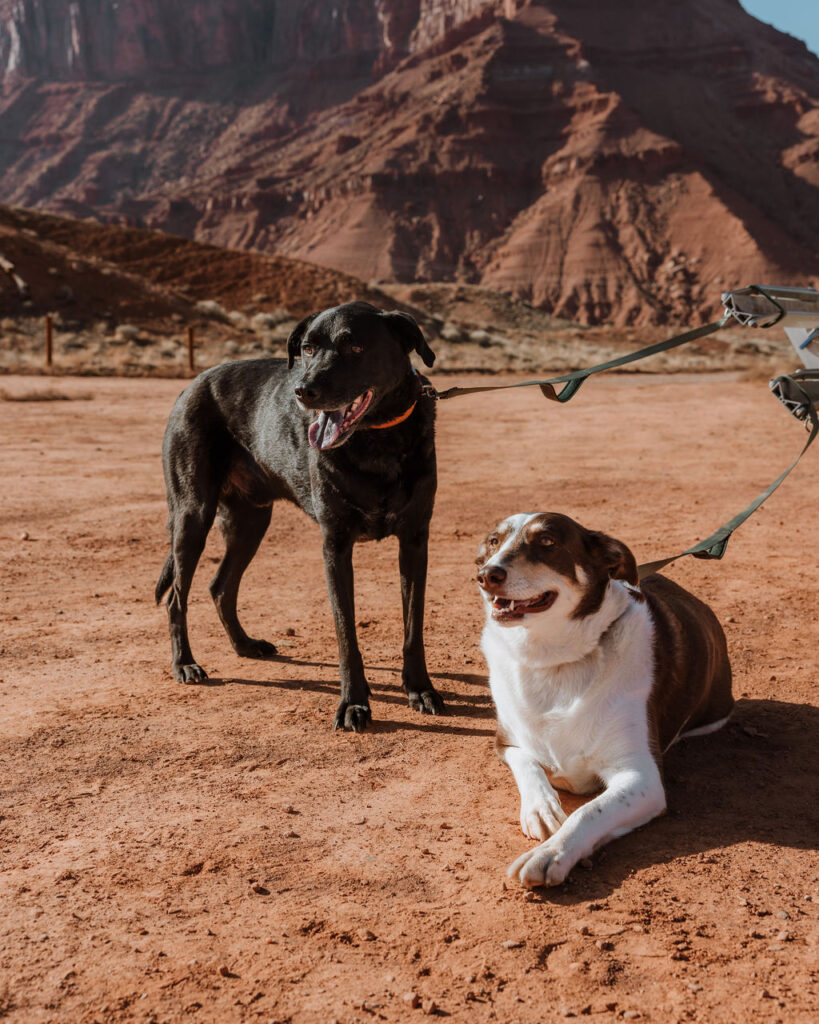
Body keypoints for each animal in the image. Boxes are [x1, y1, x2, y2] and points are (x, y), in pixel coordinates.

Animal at [155, 299, 444, 733]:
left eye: (355, 347)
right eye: (307, 349)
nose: (302, 391)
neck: (377, 440)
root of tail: (193, 383)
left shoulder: (414, 541)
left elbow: (413, 626)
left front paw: (420, 688)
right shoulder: (335, 545)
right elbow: (345, 632)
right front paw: (353, 702)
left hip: (251, 522)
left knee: (220, 586)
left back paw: (244, 645)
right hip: (192, 515)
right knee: (177, 596)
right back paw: (185, 663)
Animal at [477, 512, 733, 888]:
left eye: (547, 542)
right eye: (494, 541)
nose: (486, 575)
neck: (556, 662)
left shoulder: (642, 778)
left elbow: (586, 812)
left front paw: (549, 855)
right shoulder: (506, 742)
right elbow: (529, 767)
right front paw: (541, 808)